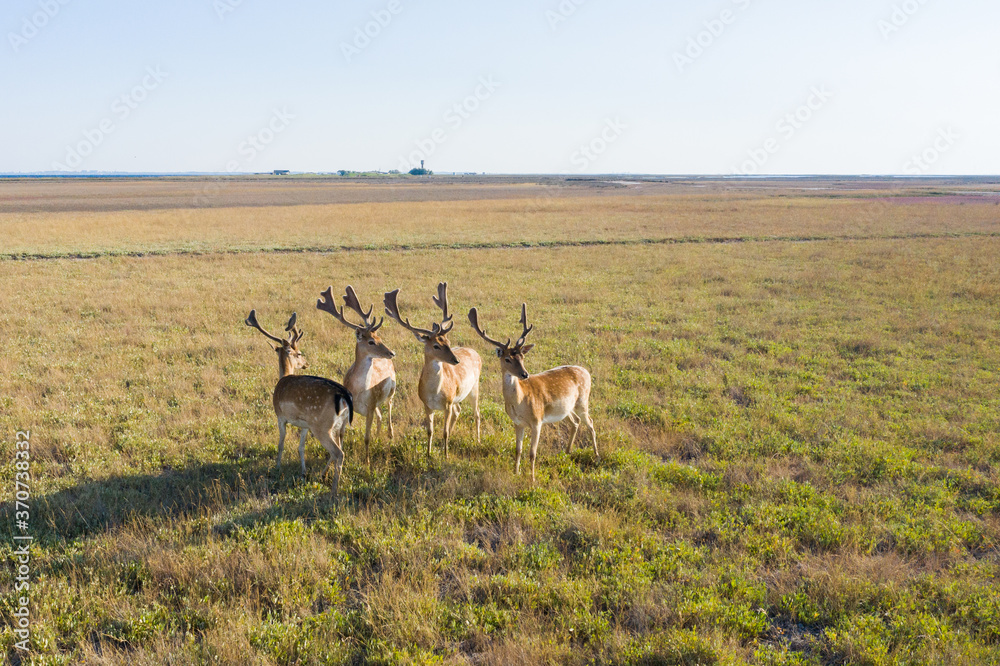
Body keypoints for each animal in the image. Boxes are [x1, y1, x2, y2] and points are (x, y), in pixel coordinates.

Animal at [245, 310, 354, 496]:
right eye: (300, 353)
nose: (306, 364)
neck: (282, 378)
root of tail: (344, 395)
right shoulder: (305, 424)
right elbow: (300, 447)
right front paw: (303, 472)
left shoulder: (280, 416)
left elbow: (281, 444)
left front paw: (277, 467)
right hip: (340, 426)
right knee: (339, 449)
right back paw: (323, 476)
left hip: (322, 426)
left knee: (338, 453)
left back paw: (333, 491)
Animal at [317, 285, 397, 466]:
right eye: (371, 341)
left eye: (379, 337)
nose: (392, 352)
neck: (359, 392)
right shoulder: (350, 408)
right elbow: (341, 434)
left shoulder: (370, 405)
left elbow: (366, 438)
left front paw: (367, 464)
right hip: (376, 404)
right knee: (380, 415)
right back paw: (379, 436)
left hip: (392, 389)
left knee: (389, 406)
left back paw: (390, 434)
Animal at [383, 282, 482, 458]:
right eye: (436, 345)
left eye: (448, 341)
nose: (456, 360)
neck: (435, 392)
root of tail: (475, 352)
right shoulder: (427, 404)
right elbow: (430, 431)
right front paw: (429, 454)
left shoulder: (448, 402)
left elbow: (444, 432)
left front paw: (446, 455)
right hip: (458, 397)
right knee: (459, 410)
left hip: (474, 387)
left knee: (476, 412)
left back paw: (477, 440)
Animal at [468, 303, 598, 483]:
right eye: (507, 359)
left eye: (522, 357)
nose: (524, 374)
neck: (520, 402)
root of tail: (587, 372)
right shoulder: (517, 423)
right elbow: (518, 450)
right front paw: (516, 473)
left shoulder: (537, 421)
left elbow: (532, 453)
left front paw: (533, 479)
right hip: (567, 408)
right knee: (576, 422)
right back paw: (567, 451)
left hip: (583, 400)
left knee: (590, 423)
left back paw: (596, 455)